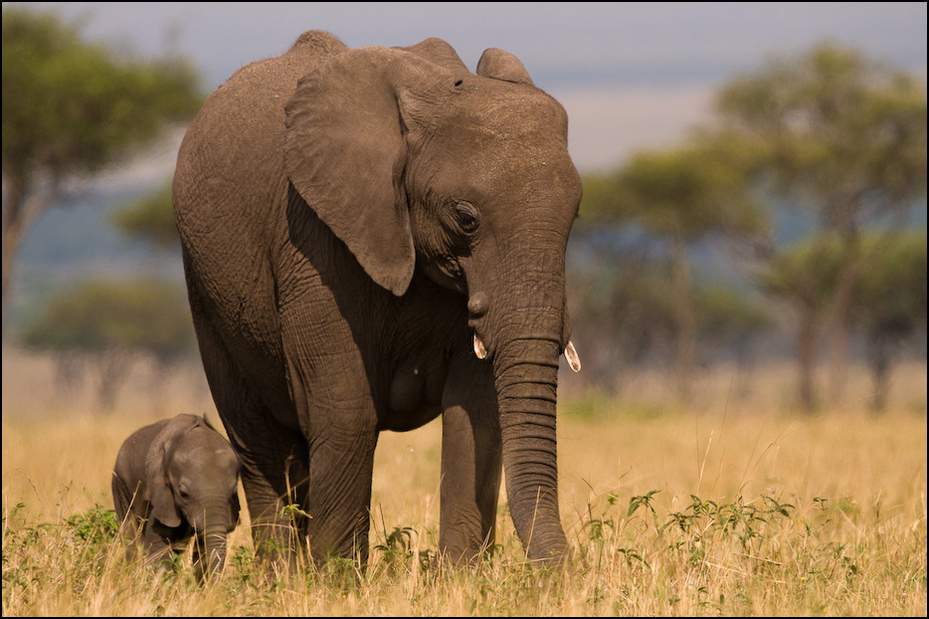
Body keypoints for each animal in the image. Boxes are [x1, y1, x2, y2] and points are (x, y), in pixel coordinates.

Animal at [111, 414, 241, 580]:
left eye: (233, 494)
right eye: (184, 494)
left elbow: (202, 547)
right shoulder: (160, 493)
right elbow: (158, 546)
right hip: (119, 484)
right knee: (130, 533)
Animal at [173, 31, 580, 568]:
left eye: (576, 215)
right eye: (465, 218)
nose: (567, 573)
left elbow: (474, 410)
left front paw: (459, 578)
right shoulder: (313, 235)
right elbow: (347, 410)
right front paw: (337, 579)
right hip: (205, 289)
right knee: (258, 438)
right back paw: (279, 576)